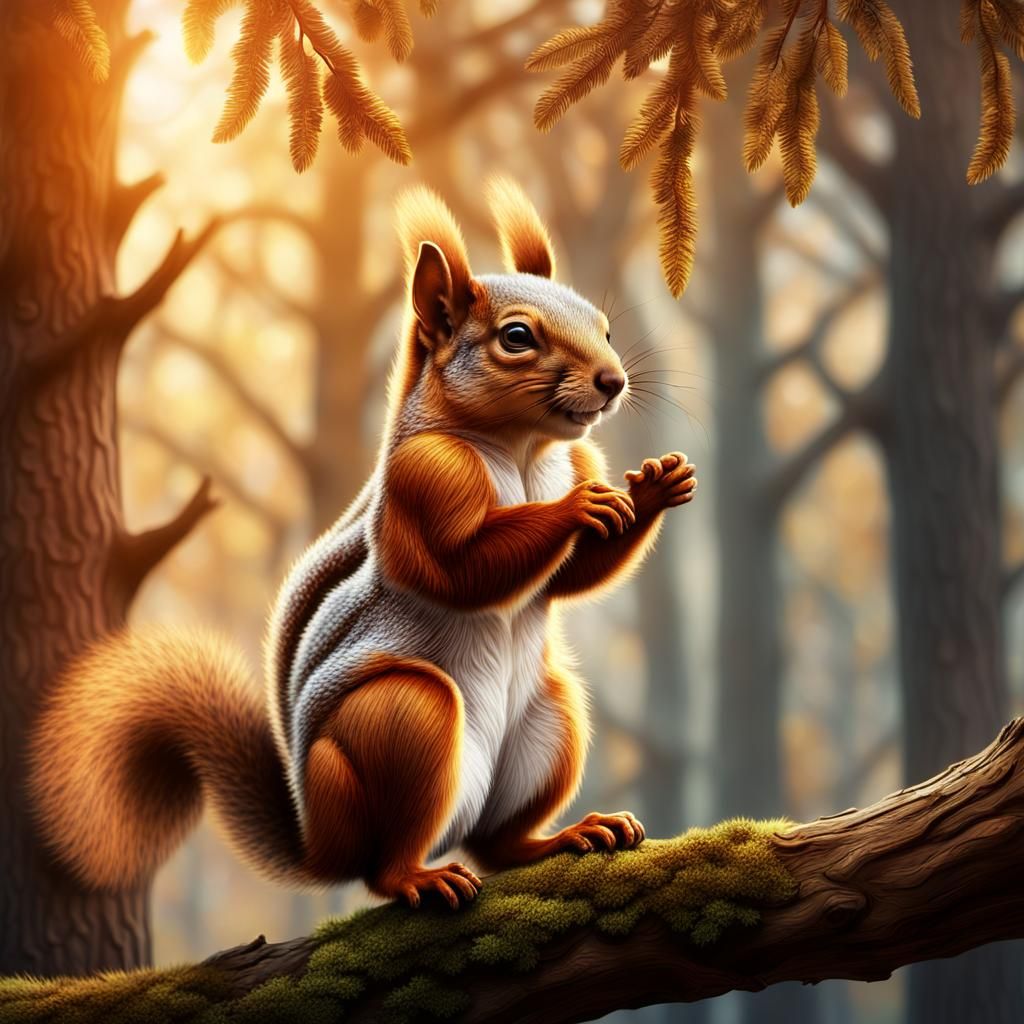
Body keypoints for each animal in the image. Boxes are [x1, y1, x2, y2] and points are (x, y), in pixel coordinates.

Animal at [28, 179, 698, 909]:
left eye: (604, 327)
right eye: (516, 337)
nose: (614, 380)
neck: (523, 451)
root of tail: (322, 844)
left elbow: (574, 577)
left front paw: (656, 487)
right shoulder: (424, 481)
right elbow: (459, 569)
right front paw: (577, 508)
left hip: (550, 720)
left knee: (499, 844)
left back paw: (566, 835)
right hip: (401, 724)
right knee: (387, 862)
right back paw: (419, 876)